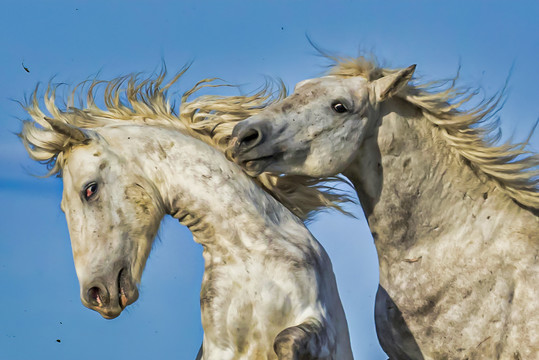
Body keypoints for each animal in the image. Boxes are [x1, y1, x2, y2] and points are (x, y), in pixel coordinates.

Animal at [19, 74, 354, 360]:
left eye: (89, 190)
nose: (95, 295)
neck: (250, 259)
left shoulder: (319, 322)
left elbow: (288, 340)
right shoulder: (220, 349)